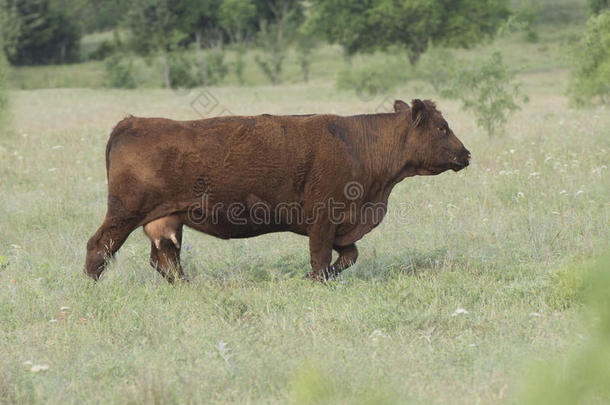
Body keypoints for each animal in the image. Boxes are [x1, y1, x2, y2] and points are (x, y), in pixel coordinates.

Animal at [83, 98, 468, 280]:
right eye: (442, 128)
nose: (466, 154)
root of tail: (132, 122)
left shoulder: (343, 227)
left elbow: (348, 256)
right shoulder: (324, 220)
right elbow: (320, 259)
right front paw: (317, 281)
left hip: (166, 220)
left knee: (166, 260)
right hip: (123, 213)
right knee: (99, 248)